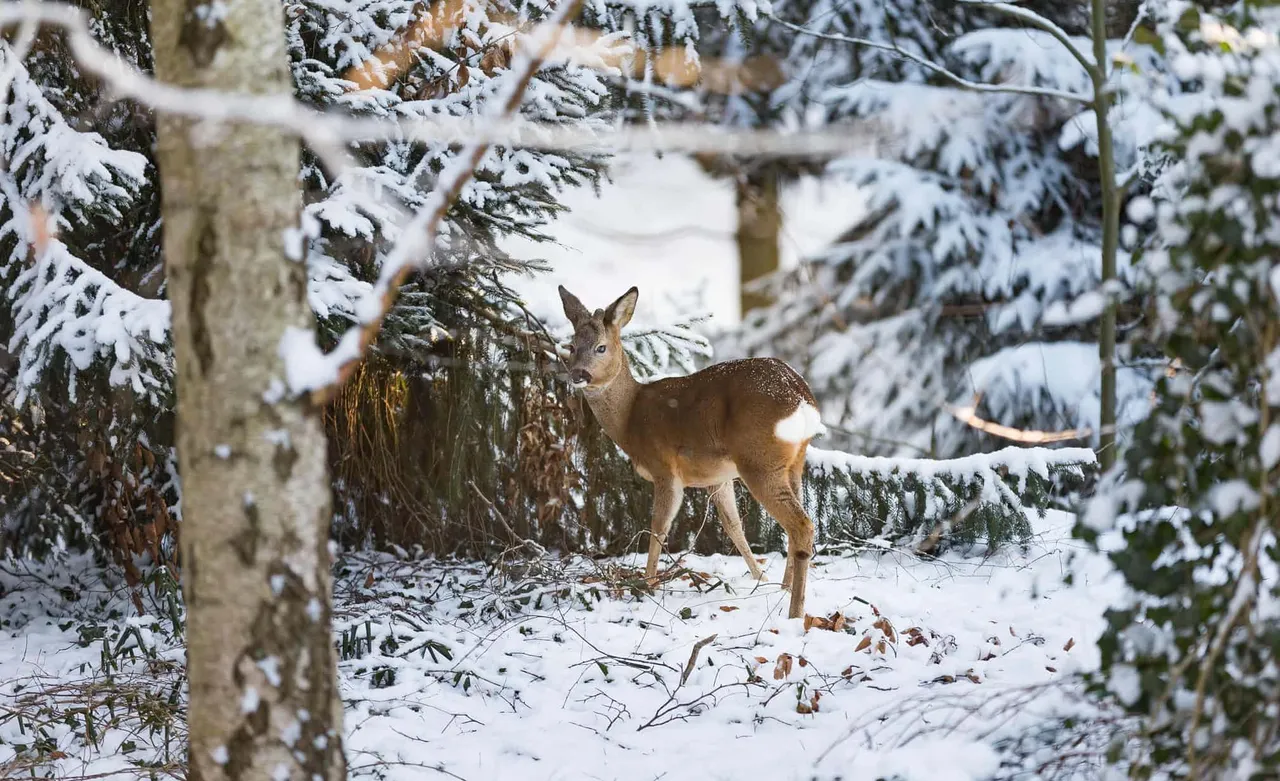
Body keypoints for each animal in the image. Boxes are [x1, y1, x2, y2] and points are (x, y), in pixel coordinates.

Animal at [558, 282, 819, 617]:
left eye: (601, 347)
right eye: (571, 346)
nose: (578, 375)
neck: (629, 417)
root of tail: (801, 397)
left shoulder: (664, 467)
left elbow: (658, 527)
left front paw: (647, 585)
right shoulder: (717, 477)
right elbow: (733, 526)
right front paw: (760, 579)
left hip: (760, 459)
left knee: (802, 524)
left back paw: (795, 612)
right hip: (794, 461)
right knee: (796, 523)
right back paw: (784, 588)